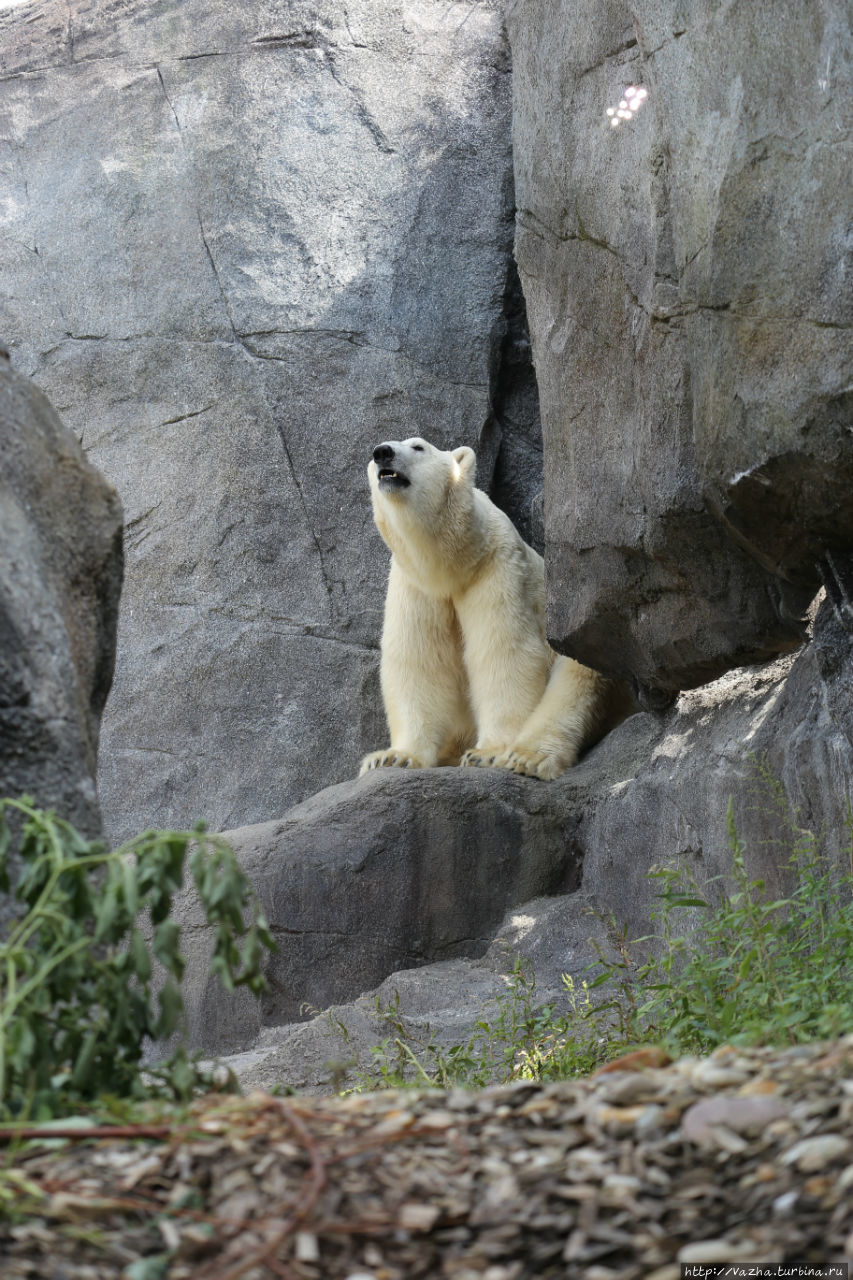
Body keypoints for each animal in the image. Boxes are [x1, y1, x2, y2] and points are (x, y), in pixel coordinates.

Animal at [356, 440, 627, 778]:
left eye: (418, 446)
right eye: (376, 454)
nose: (382, 452)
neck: (456, 561)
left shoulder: (497, 566)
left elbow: (505, 652)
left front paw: (488, 753)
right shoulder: (415, 585)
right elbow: (418, 660)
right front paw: (393, 757)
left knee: (578, 674)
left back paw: (527, 757)